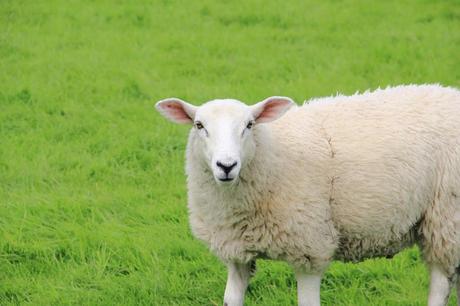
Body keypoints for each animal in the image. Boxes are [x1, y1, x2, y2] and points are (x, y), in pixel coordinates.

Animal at [155, 84, 460, 306]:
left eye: (250, 125)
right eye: (199, 125)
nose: (226, 165)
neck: (274, 154)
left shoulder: (310, 247)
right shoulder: (236, 251)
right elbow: (231, 299)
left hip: (446, 216)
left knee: (440, 283)